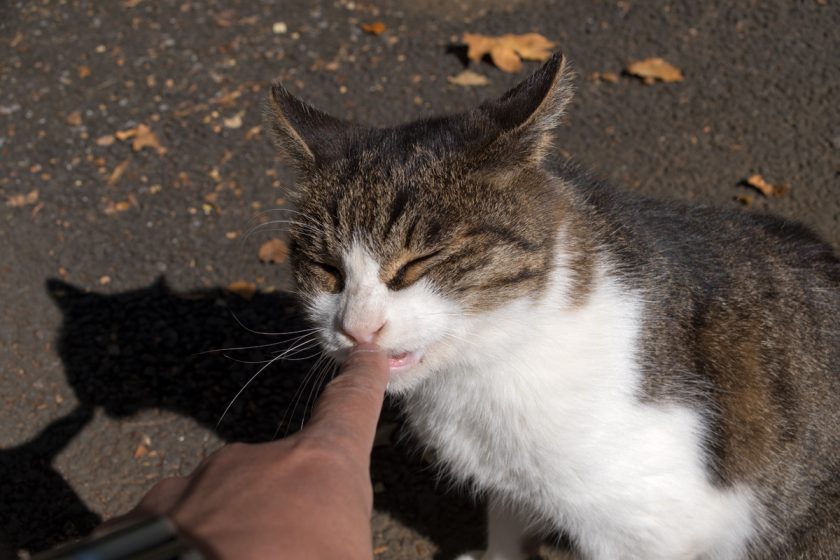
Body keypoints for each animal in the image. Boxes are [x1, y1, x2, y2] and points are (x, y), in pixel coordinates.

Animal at [268, 53, 840, 560]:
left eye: (419, 262)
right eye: (326, 268)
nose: (357, 327)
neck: (489, 366)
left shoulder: (647, 529)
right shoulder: (511, 485)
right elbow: (506, 526)